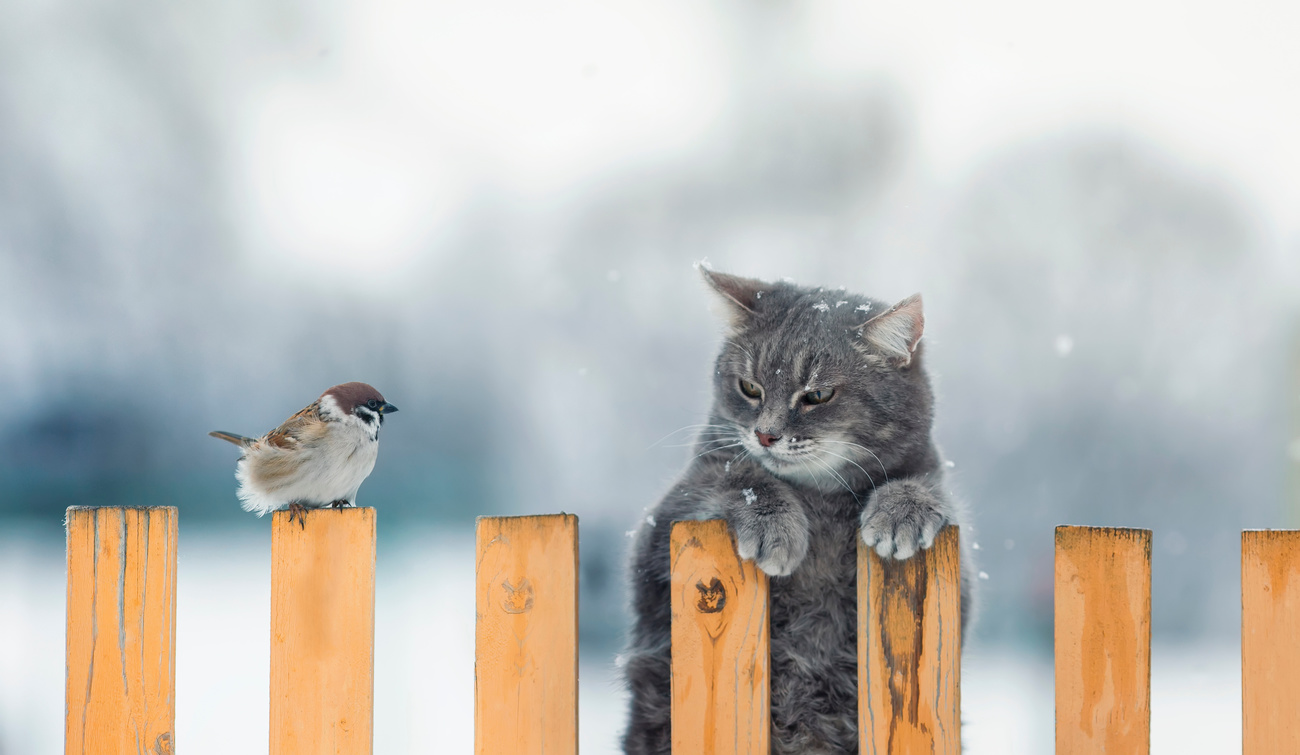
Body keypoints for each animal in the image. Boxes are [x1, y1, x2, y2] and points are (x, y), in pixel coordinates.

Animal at [621, 267, 977, 748]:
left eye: (818, 395)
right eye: (749, 388)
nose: (765, 434)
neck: (819, 497)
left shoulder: (959, 583)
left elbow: (926, 488)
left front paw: (902, 510)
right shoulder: (665, 522)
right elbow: (737, 475)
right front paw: (776, 526)